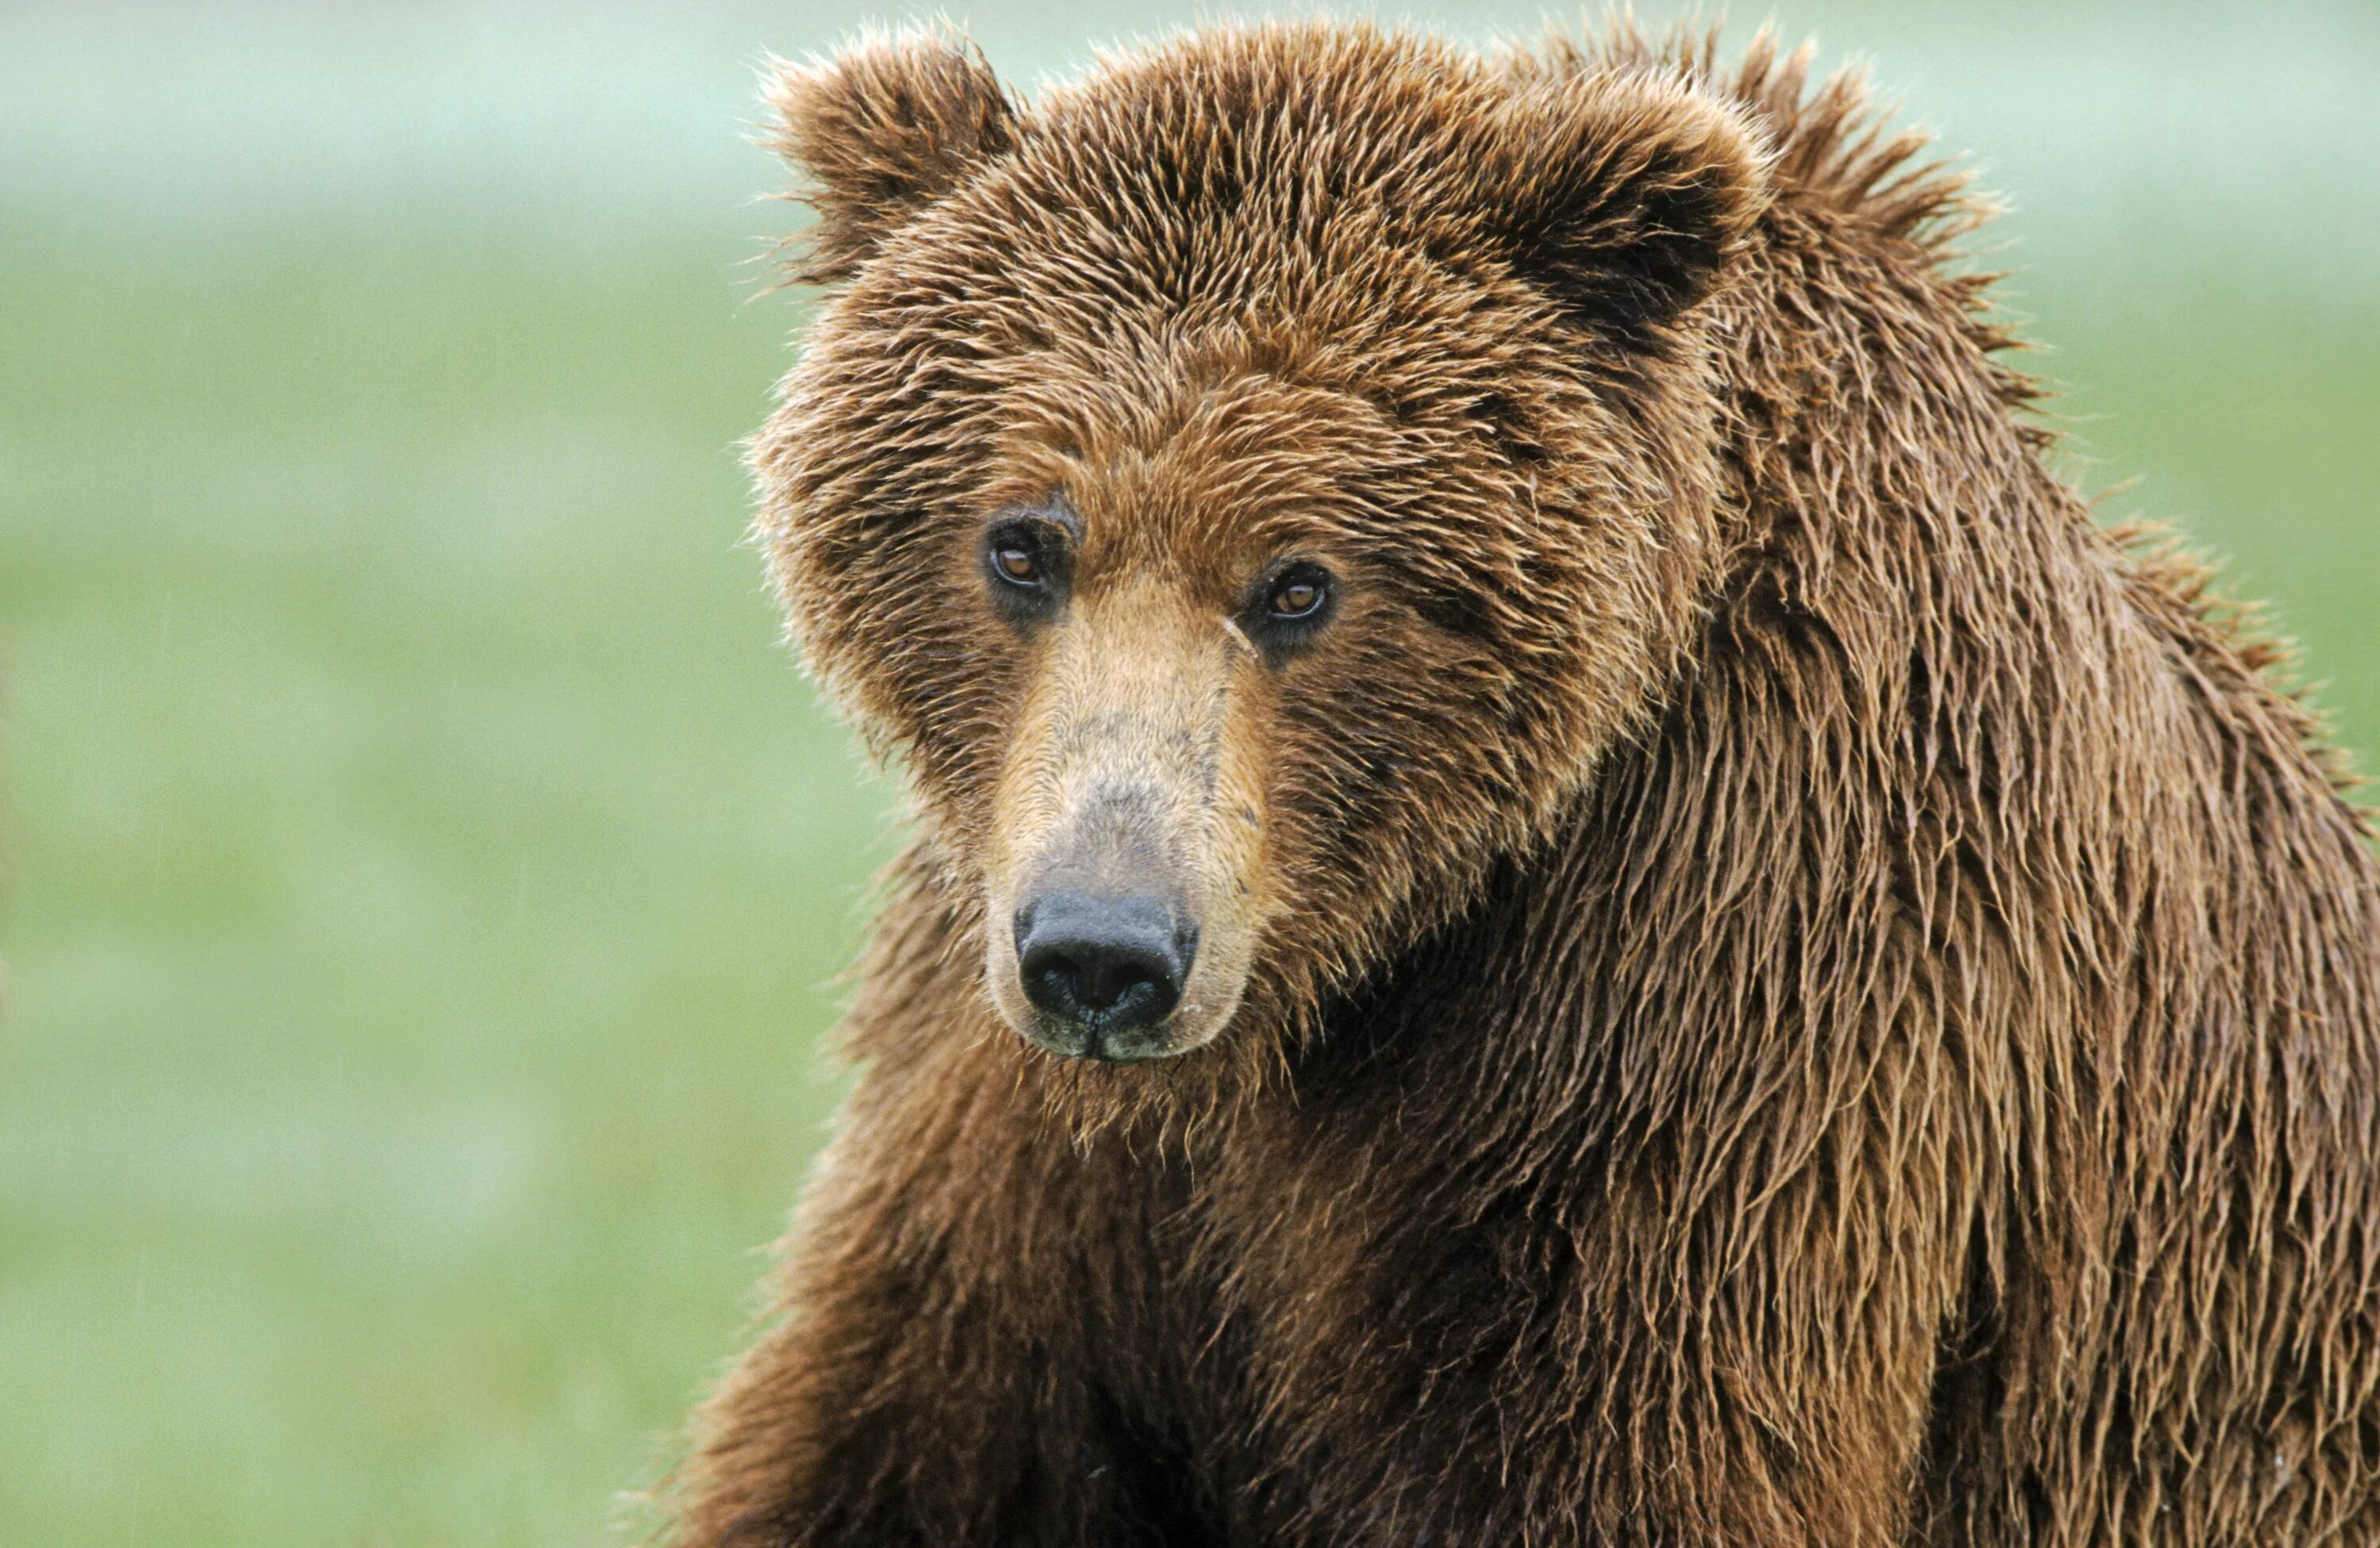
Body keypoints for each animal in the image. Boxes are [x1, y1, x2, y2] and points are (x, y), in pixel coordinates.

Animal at [662, 14, 2380, 1542]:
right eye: (1024, 542)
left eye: (1301, 582)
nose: (1107, 953)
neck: (1347, 972)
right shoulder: (1012, 1122)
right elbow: (907, 1442)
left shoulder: (1739, 1001)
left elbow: (1626, 1449)